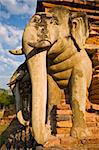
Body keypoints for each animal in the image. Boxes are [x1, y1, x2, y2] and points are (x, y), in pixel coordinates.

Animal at [9, 6, 92, 144]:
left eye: (54, 22)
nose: (46, 130)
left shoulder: (80, 66)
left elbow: (77, 91)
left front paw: (80, 135)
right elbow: (52, 94)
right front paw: (49, 128)